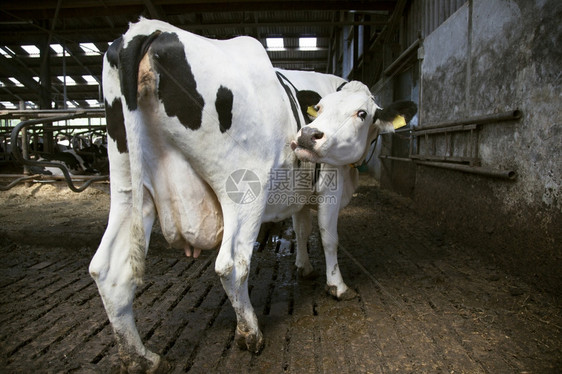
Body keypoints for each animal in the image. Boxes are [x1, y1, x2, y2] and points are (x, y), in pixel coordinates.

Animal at [89, 18, 414, 374]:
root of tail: (149, 30)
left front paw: (303, 267)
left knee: (108, 270)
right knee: (231, 264)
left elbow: (302, 228)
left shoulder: (300, 191)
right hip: (244, 191)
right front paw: (338, 286)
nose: (307, 136)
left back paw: (141, 358)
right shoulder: (330, 180)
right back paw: (250, 333)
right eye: (320, 108)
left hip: (128, 186)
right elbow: (328, 237)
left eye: (362, 113)